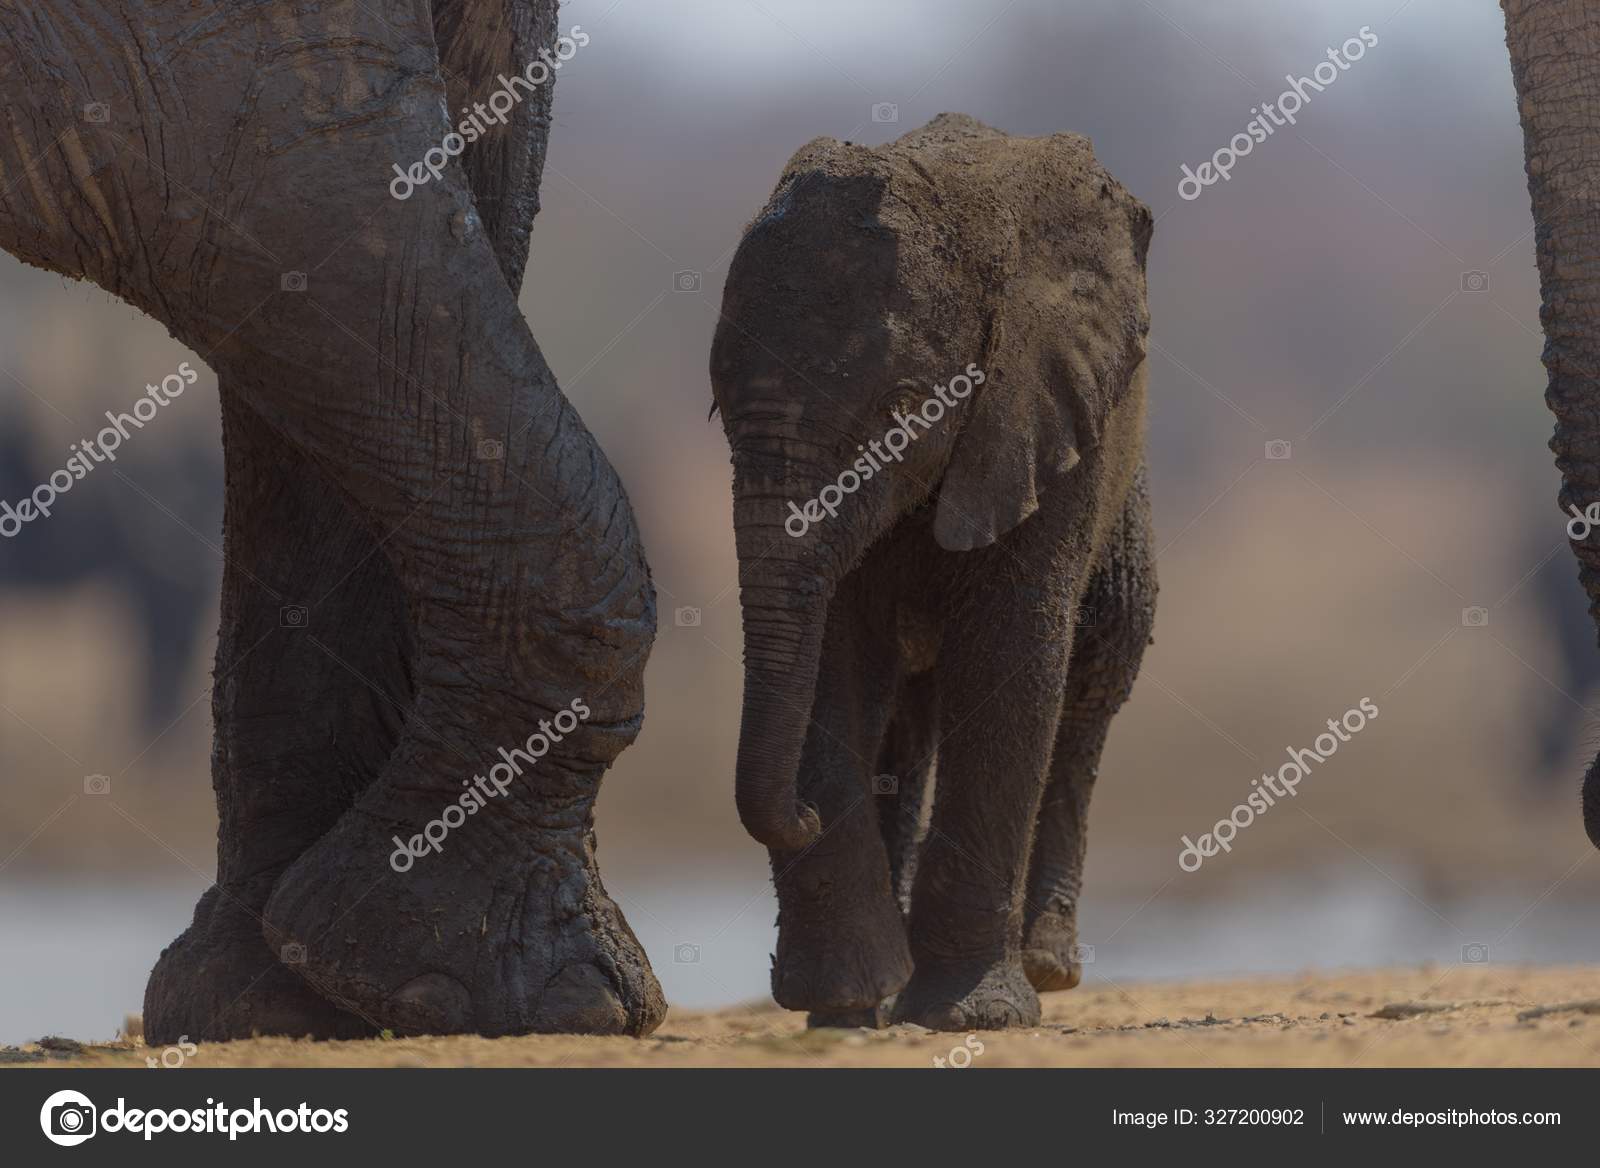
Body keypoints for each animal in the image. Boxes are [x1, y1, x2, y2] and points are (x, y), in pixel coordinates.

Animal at [713, 108, 1152, 1024]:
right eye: (717, 410)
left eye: (901, 411)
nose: (799, 813)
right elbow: (834, 653)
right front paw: (845, 999)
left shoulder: (1037, 413)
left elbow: (1012, 652)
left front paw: (970, 1015)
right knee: (904, 719)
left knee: (1095, 680)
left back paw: (1046, 967)